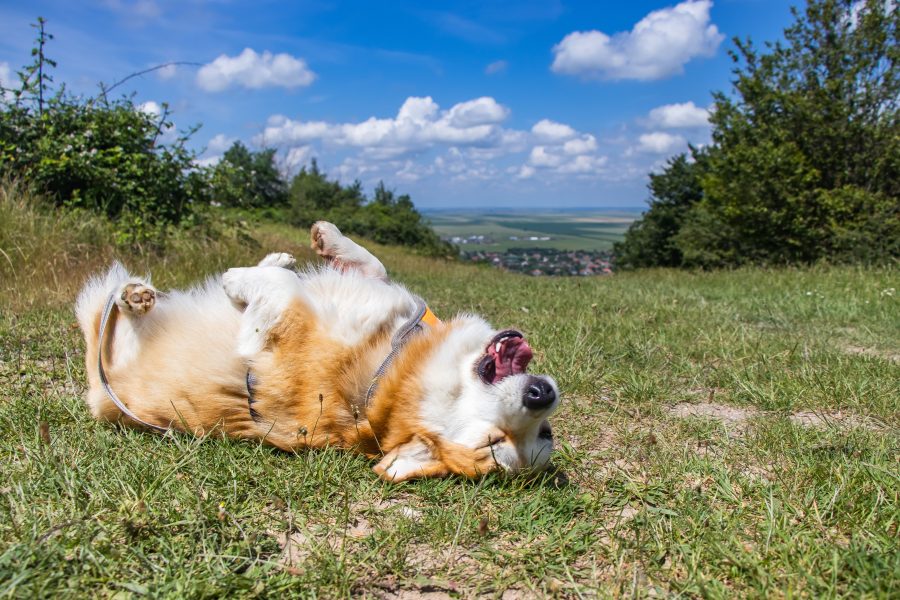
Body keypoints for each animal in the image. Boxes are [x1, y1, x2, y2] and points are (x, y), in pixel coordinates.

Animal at [74, 223, 560, 480]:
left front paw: (236, 278)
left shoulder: (288, 324)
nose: (541, 396)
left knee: (104, 319)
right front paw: (328, 239)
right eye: (547, 433)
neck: (390, 369)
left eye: (495, 441)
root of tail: (102, 395)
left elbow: (276, 292)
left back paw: (135, 297)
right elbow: (372, 264)